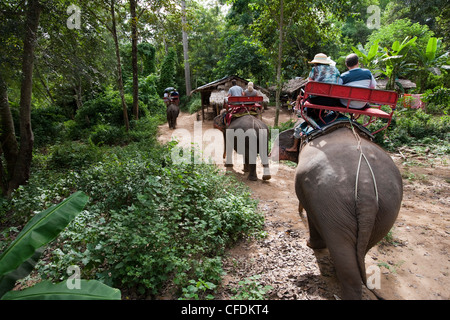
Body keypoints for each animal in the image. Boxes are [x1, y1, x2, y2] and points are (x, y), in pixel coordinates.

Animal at [270, 124, 404, 298]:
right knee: (358, 251)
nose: (299, 212)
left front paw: (310, 244)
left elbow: (311, 216)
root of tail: (366, 185)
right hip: (384, 211)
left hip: (331, 202)